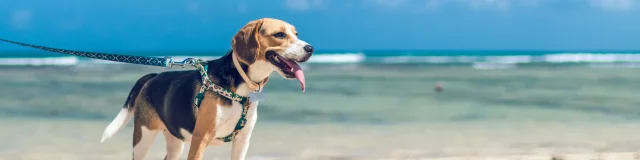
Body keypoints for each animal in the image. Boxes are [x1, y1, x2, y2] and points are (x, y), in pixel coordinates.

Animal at [99, 17, 316, 160]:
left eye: (296, 34)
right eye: (280, 34)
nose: (310, 48)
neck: (241, 84)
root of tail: (153, 76)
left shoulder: (242, 141)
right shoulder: (200, 138)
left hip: (175, 140)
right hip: (143, 136)